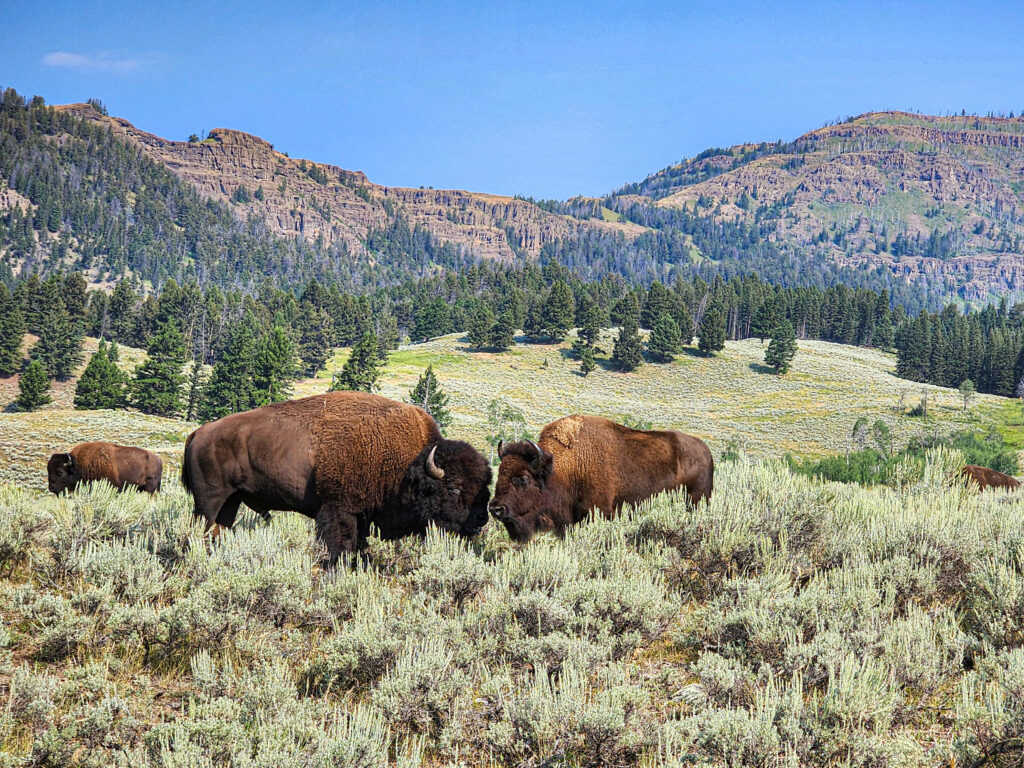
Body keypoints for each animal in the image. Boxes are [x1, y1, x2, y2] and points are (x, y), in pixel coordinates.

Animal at [182, 393, 493, 561]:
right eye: (453, 488)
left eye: (484, 486)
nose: (481, 518)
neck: (407, 465)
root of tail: (199, 432)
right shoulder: (339, 510)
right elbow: (340, 546)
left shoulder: (363, 516)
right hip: (208, 502)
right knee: (198, 530)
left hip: (231, 502)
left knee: (217, 531)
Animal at [487, 415, 712, 548]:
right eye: (500, 473)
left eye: (523, 478)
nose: (495, 509)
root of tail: (706, 451)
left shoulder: (598, 512)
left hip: (697, 499)